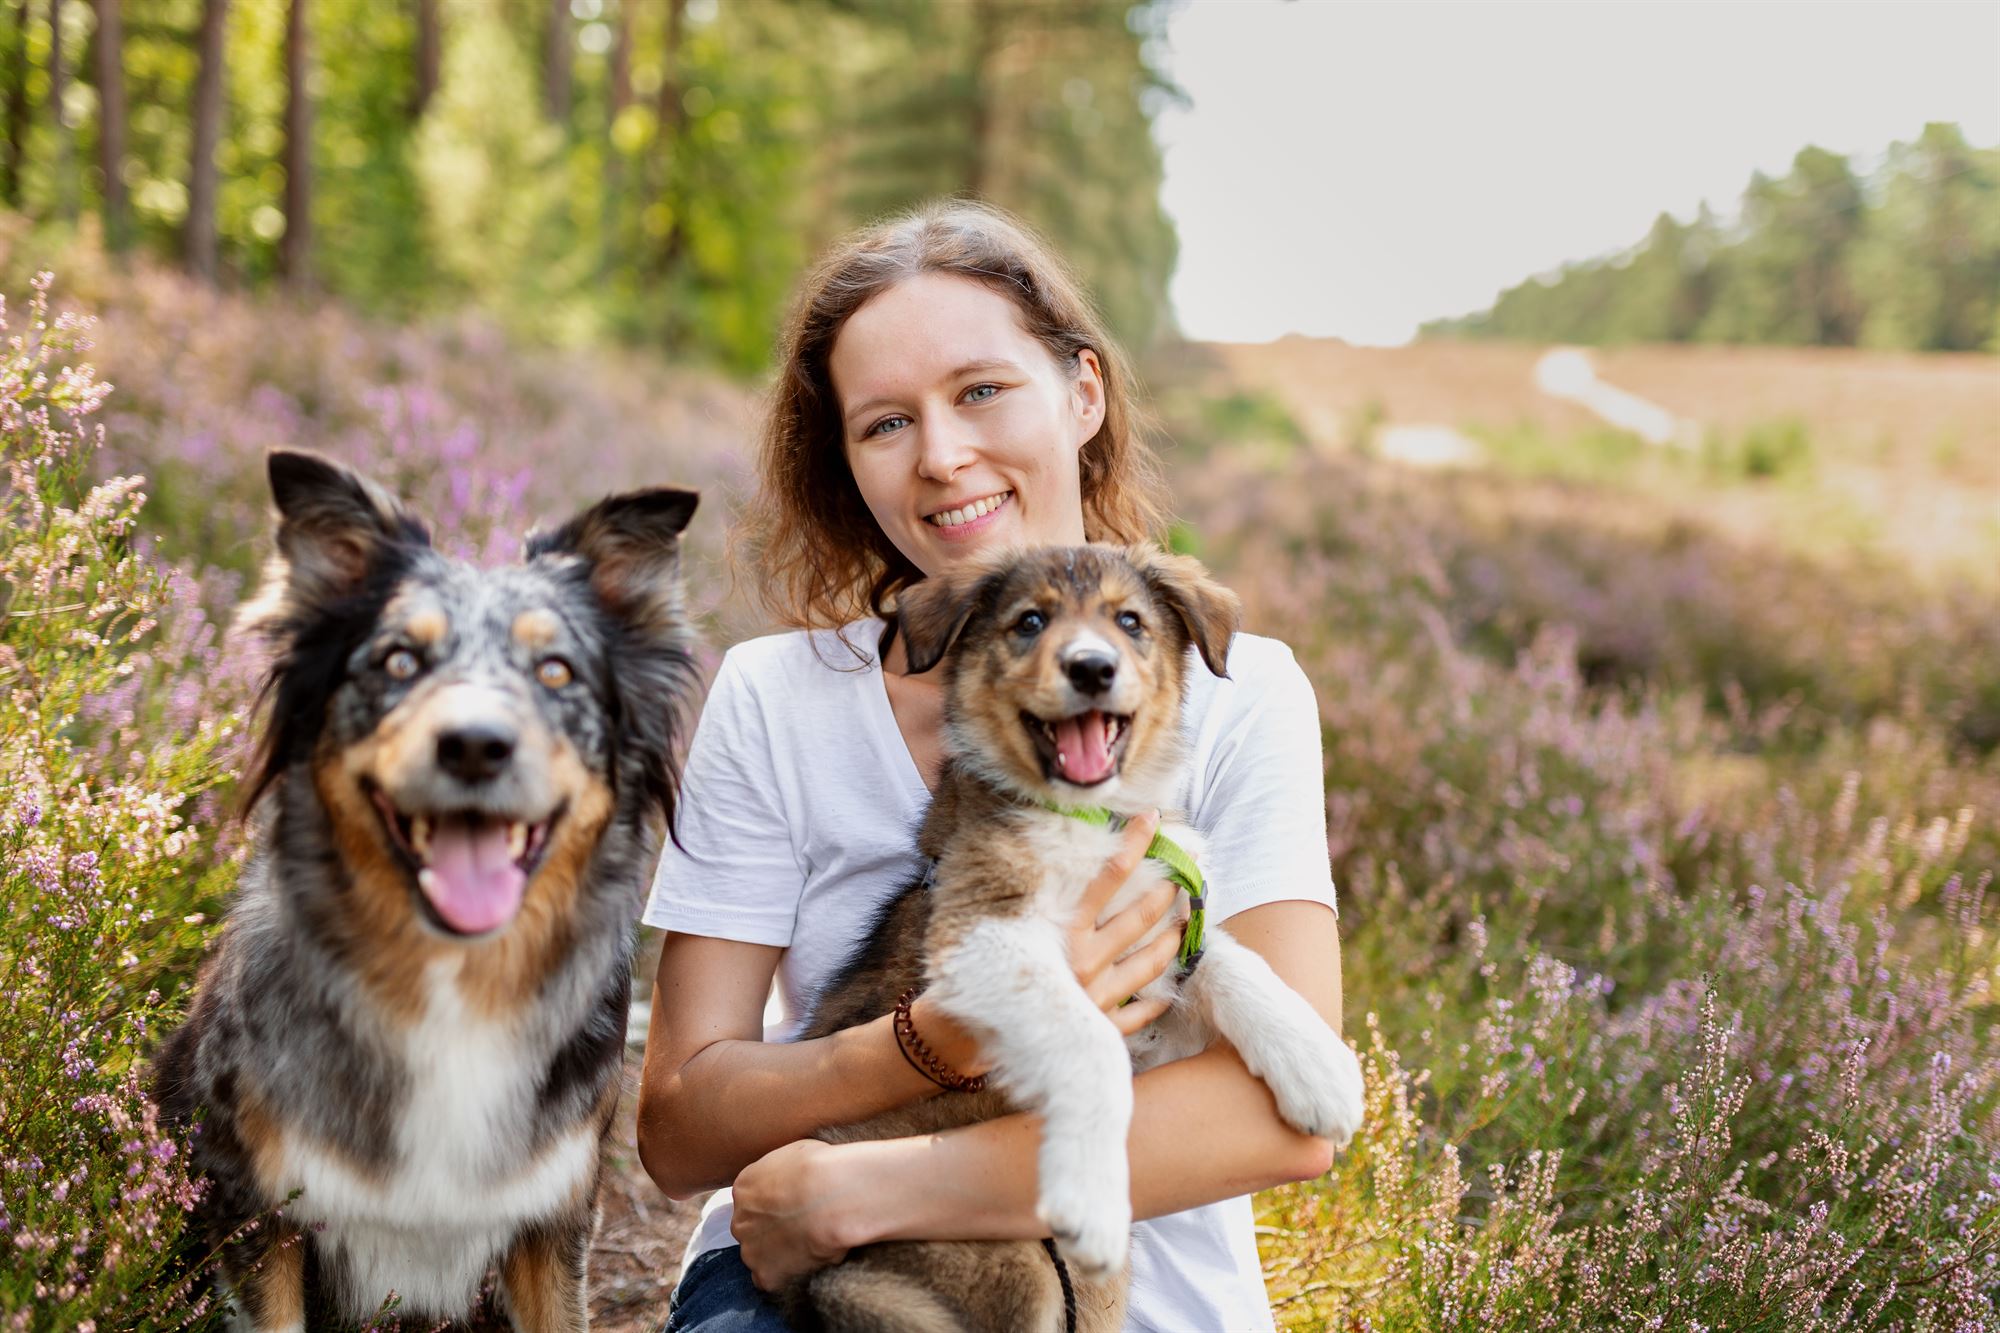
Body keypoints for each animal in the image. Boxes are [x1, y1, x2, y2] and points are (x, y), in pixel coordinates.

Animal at [150, 452, 696, 1320]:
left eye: (556, 671)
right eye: (399, 660)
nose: (474, 744)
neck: (451, 981)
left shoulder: (553, 1216)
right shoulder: (256, 1208)